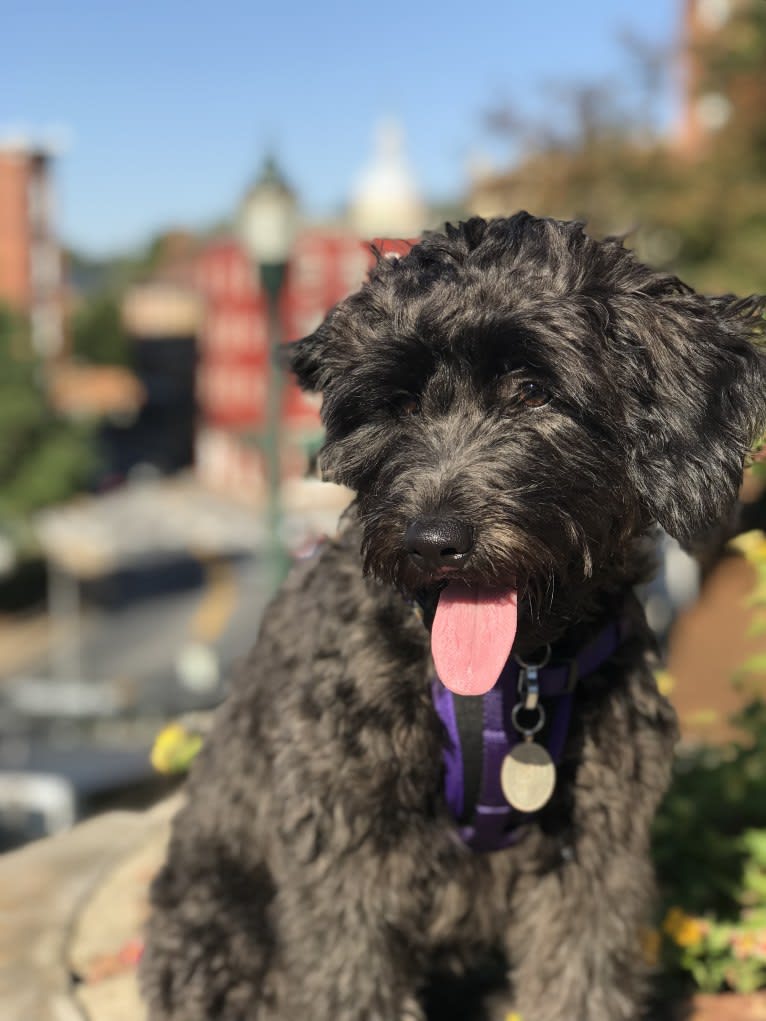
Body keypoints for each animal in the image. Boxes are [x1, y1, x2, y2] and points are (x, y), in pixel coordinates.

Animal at [139, 215, 766, 1021]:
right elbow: (350, 983)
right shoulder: (341, 841)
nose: (431, 540)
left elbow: (581, 976)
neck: (513, 680)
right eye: (400, 404)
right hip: (219, 930)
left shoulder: (595, 845)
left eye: (531, 391)